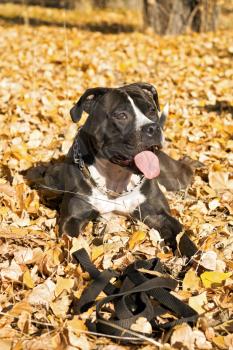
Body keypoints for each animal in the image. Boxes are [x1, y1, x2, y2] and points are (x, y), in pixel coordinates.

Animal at [41, 83, 196, 250]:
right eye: (121, 115)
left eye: (152, 110)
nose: (153, 128)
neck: (116, 178)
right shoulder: (71, 221)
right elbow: (78, 249)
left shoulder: (158, 215)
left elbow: (184, 238)